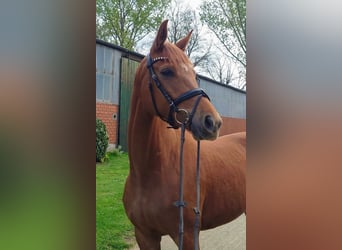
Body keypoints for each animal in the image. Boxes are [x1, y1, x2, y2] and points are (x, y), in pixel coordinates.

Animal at [123, 20, 246, 249]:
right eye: (167, 71)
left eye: (195, 75)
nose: (213, 122)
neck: (149, 172)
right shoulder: (144, 235)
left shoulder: (188, 235)